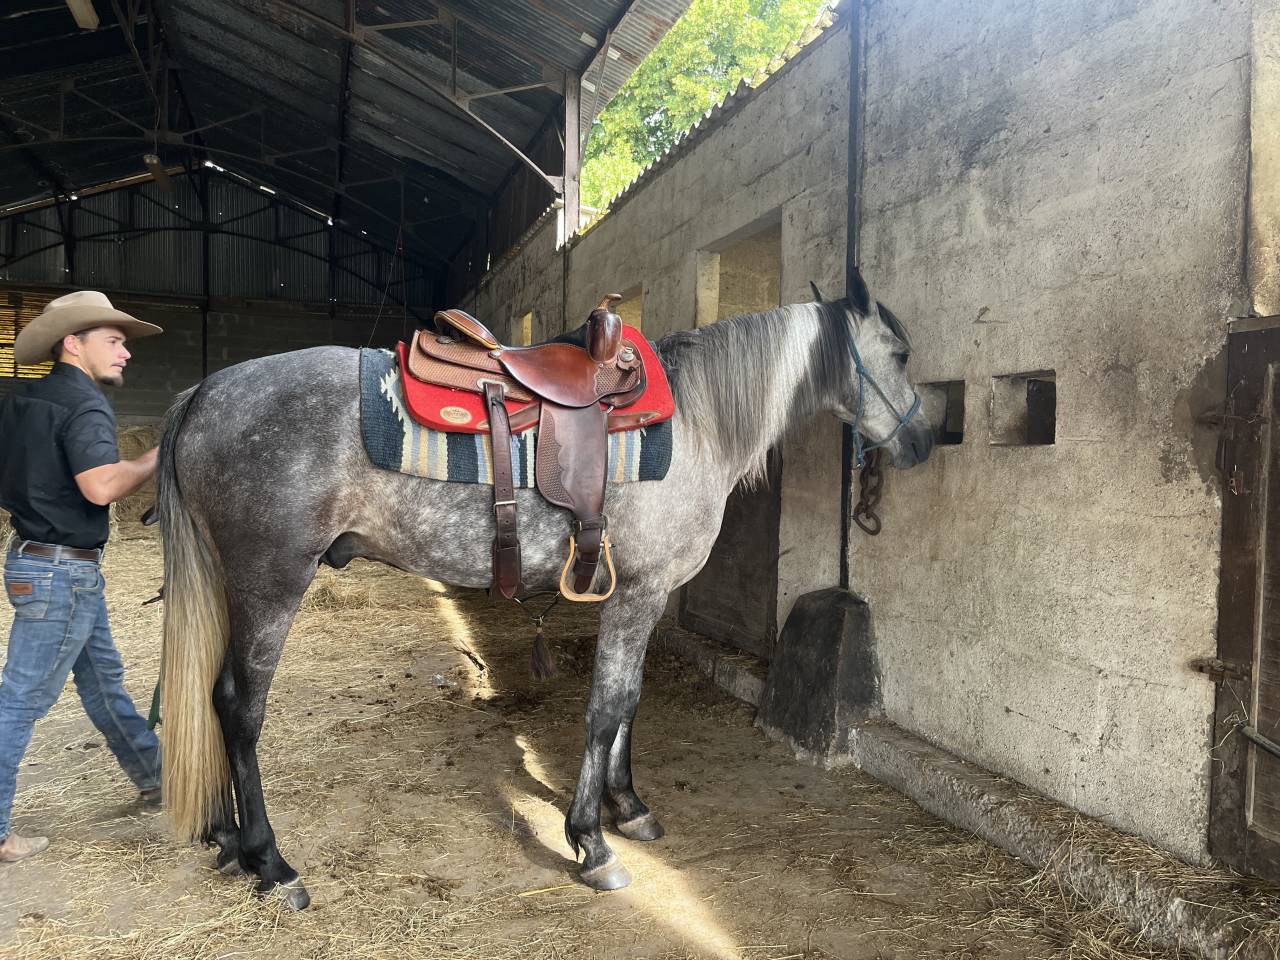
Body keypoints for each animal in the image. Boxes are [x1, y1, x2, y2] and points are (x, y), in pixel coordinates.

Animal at [155, 266, 935, 909]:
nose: (925, 440)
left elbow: (629, 702)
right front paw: (591, 840)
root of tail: (205, 390)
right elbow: (606, 708)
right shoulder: (638, 593)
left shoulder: (639, 599)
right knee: (239, 707)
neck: (696, 422)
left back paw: (227, 838)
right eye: (899, 355)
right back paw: (271, 862)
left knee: (205, 694)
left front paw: (629, 806)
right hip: (271, 581)